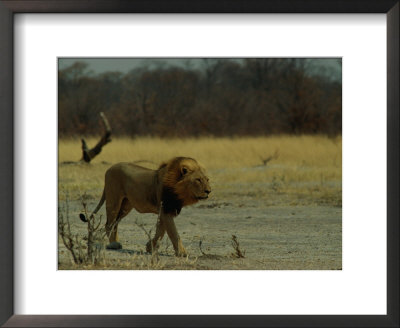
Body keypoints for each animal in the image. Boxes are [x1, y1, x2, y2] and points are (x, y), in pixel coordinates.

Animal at [78, 156, 211, 256]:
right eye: (198, 180)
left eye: (207, 179)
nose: (209, 191)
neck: (178, 191)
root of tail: (109, 168)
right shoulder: (165, 210)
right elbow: (173, 233)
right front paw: (182, 253)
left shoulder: (166, 211)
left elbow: (161, 231)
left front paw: (149, 247)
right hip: (113, 200)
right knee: (109, 223)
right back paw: (113, 245)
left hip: (125, 206)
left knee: (115, 223)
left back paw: (116, 242)